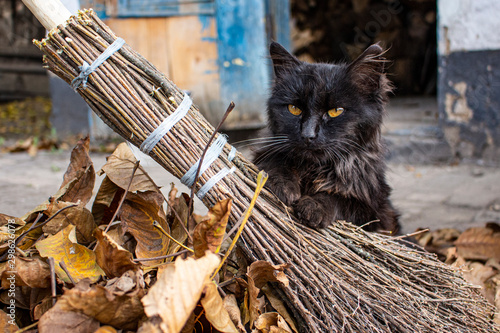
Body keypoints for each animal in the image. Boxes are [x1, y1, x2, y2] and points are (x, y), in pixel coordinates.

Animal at [252, 41, 400, 233]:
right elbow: (275, 161)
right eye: (294, 109)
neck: (314, 169)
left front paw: (314, 207)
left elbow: (341, 200)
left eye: (335, 111)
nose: (308, 135)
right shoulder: (266, 152)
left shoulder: (375, 212)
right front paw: (283, 185)